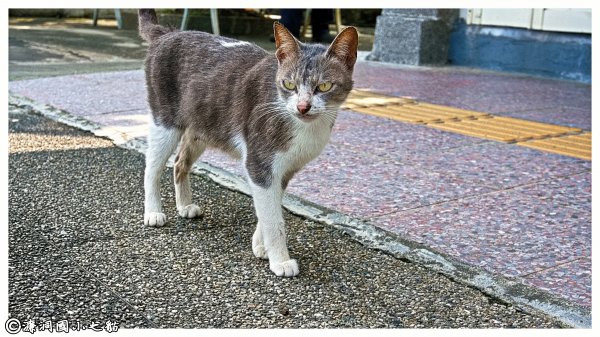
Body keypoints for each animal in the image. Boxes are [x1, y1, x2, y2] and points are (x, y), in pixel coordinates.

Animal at [138, 8, 358, 276]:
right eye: (289, 84)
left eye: (324, 86)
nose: (302, 107)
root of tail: (167, 33)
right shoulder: (259, 162)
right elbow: (273, 218)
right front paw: (280, 260)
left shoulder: (284, 170)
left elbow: (270, 207)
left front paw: (260, 246)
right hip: (165, 121)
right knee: (152, 168)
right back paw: (153, 212)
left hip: (203, 126)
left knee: (180, 162)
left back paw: (184, 206)